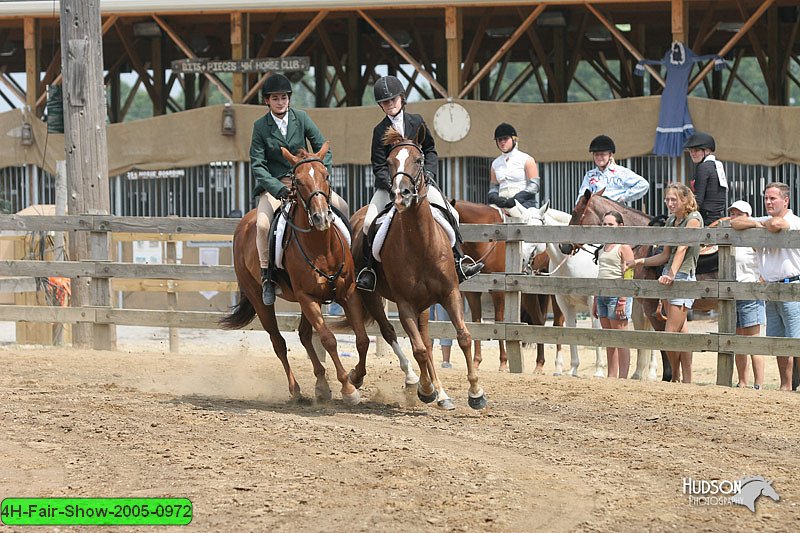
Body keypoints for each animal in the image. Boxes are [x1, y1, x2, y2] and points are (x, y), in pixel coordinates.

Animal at [219, 143, 368, 406]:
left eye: (326, 175)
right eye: (298, 181)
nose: (321, 217)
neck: (322, 249)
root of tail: (244, 223)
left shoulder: (347, 293)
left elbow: (361, 338)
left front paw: (355, 378)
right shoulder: (307, 297)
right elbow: (328, 339)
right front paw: (348, 388)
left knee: (305, 335)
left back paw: (321, 384)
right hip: (260, 299)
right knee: (278, 341)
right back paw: (296, 389)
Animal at [350, 127, 488, 410]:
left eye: (418, 159)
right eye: (389, 162)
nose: (401, 195)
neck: (421, 244)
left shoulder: (450, 293)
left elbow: (463, 337)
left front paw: (475, 393)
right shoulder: (405, 304)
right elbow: (419, 350)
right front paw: (425, 390)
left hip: (424, 305)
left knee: (424, 338)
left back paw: (442, 394)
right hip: (369, 296)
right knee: (387, 333)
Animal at [454, 197, 564, 372]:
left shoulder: (498, 291)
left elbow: (498, 322)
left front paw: (503, 362)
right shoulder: (472, 293)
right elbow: (477, 322)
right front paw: (476, 361)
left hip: (553, 292)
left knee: (556, 322)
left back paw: (554, 366)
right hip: (529, 294)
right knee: (539, 321)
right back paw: (539, 364)